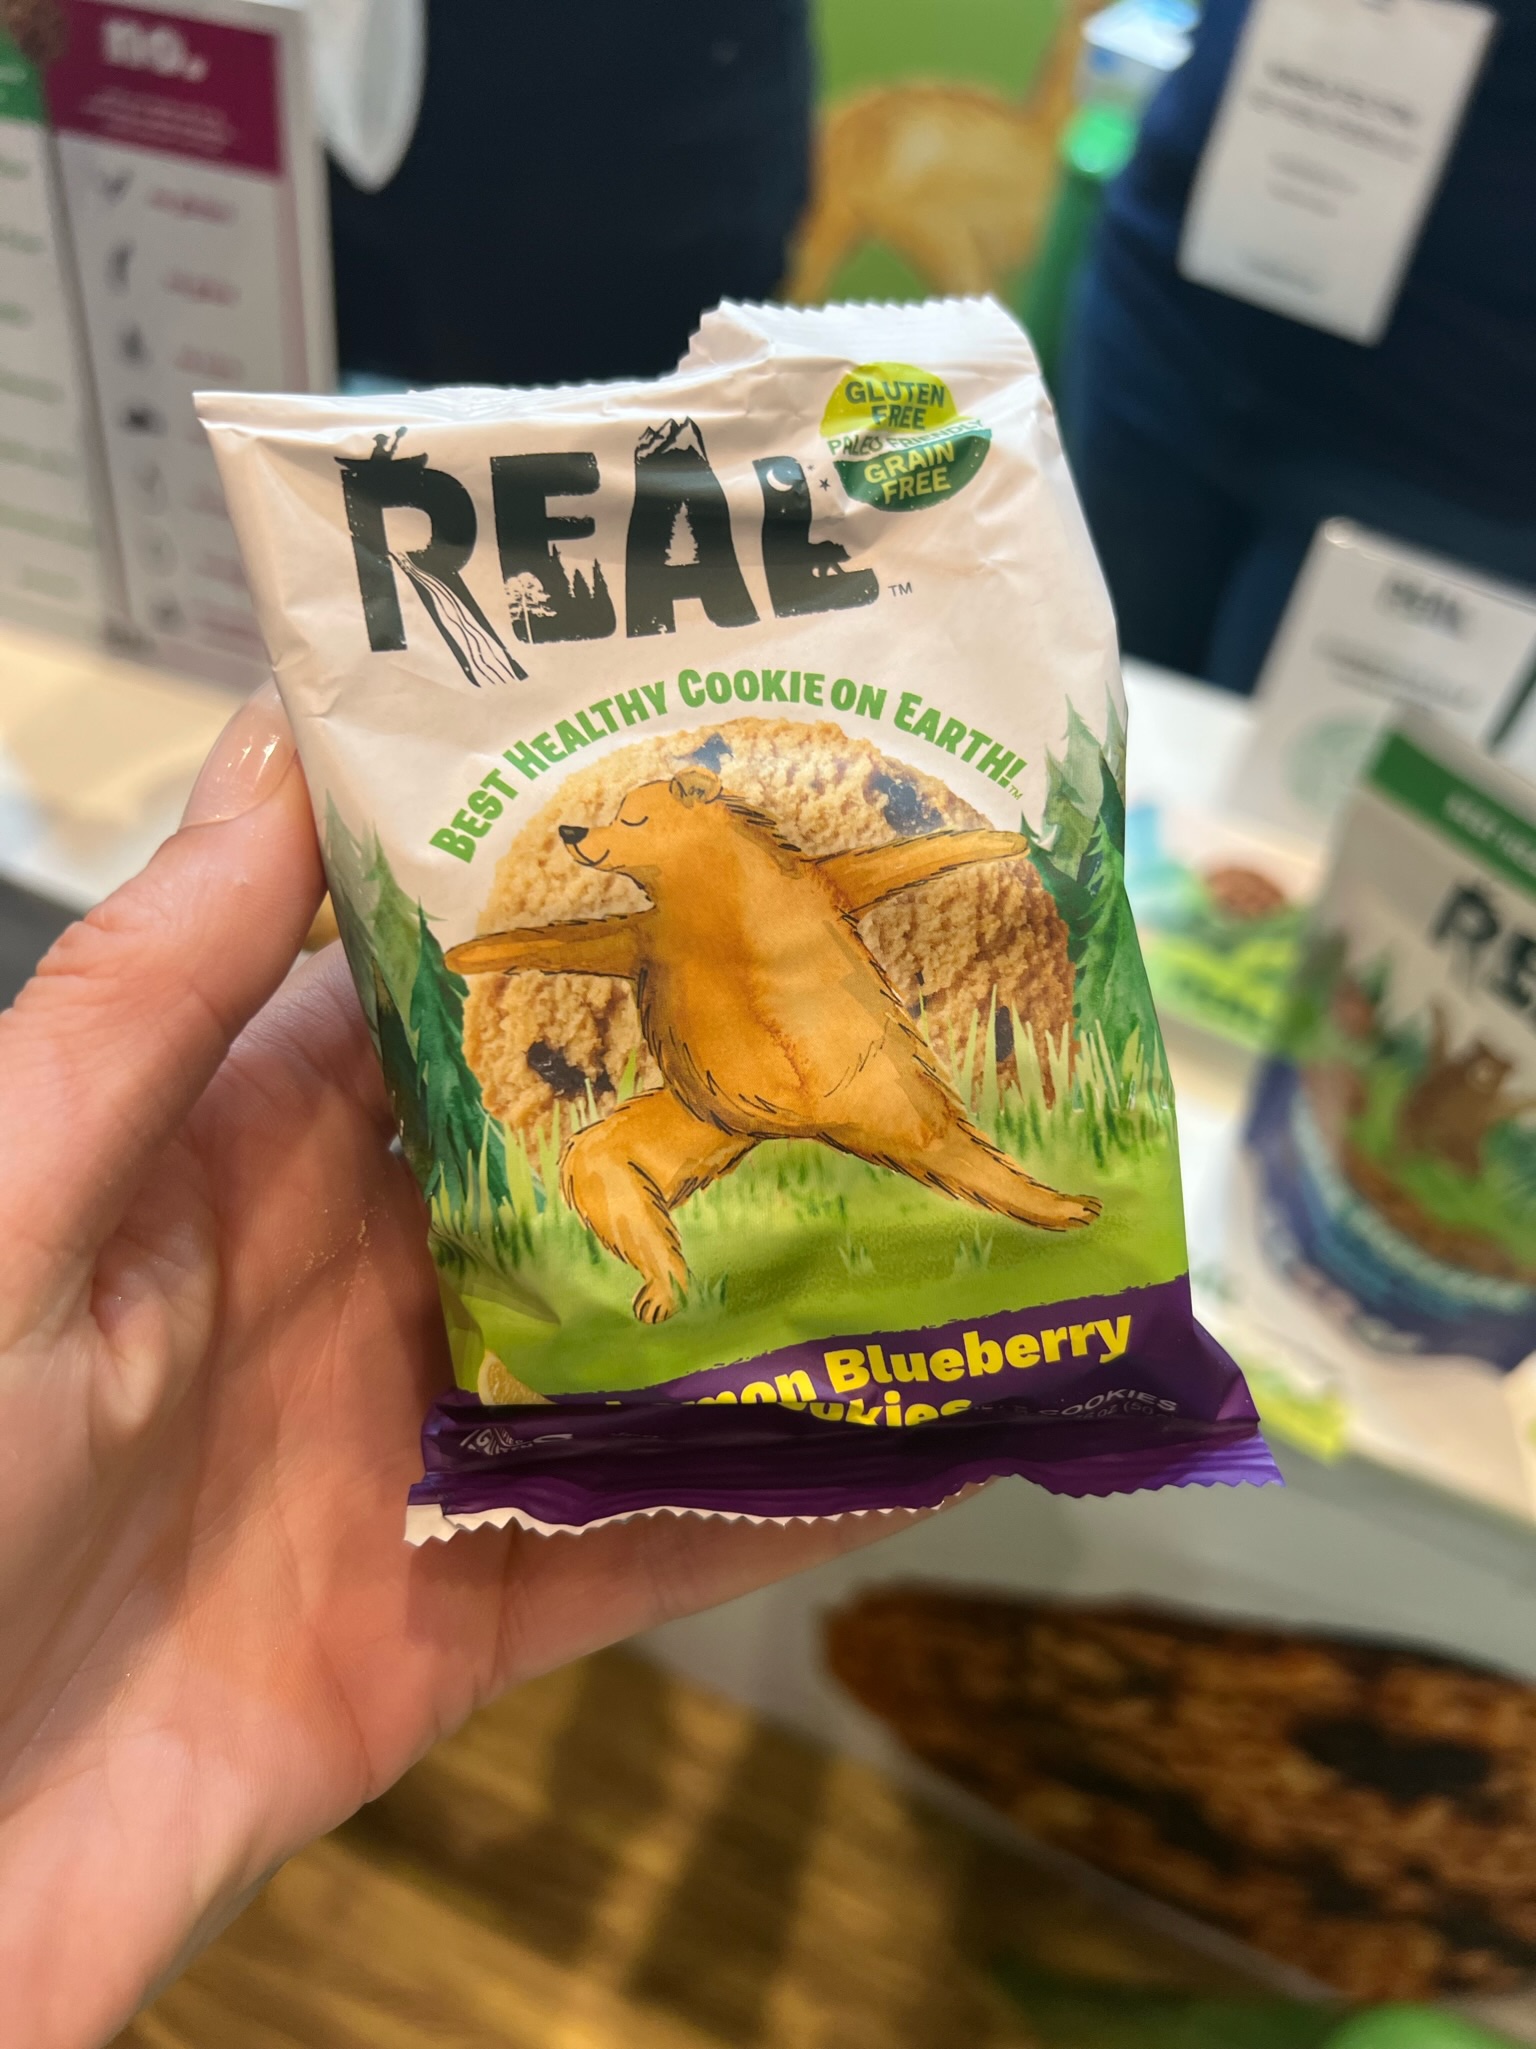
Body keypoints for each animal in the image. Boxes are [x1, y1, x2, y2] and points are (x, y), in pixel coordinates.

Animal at [446, 766, 1099, 1322]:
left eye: (632, 818)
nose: (572, 830)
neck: (709, 890)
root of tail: (818, 1127)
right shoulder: (650, 939)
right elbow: (570, 939)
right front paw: (468, 954)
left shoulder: (813, 888)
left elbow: (894, 861)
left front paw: (998, 842)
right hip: (707, 1122)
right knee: (603, 1171)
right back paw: (666, 1288)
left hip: (887, 1087)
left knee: (955, 1145)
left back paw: (1059, 1204)